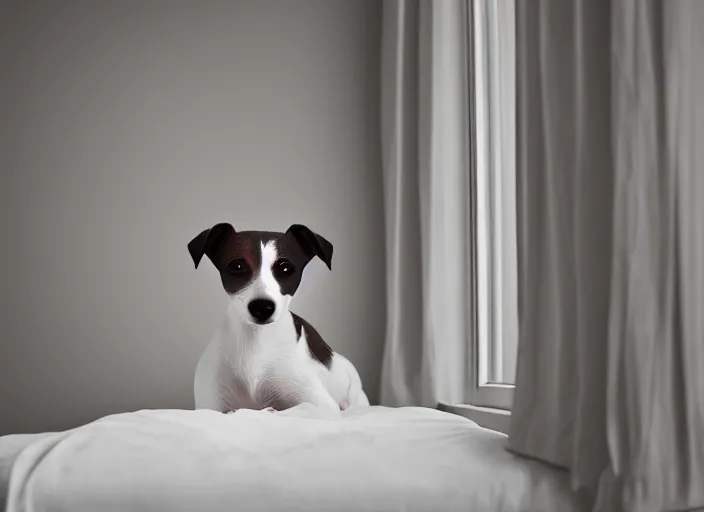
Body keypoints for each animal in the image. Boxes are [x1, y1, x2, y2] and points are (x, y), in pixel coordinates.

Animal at [188, 222, 374, 414]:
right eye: (237, 266)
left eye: (286, 268)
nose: (262, 308)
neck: (255, 342)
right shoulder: (209, 406)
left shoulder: (322, 405)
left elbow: (279, 412)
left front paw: (266, 411)